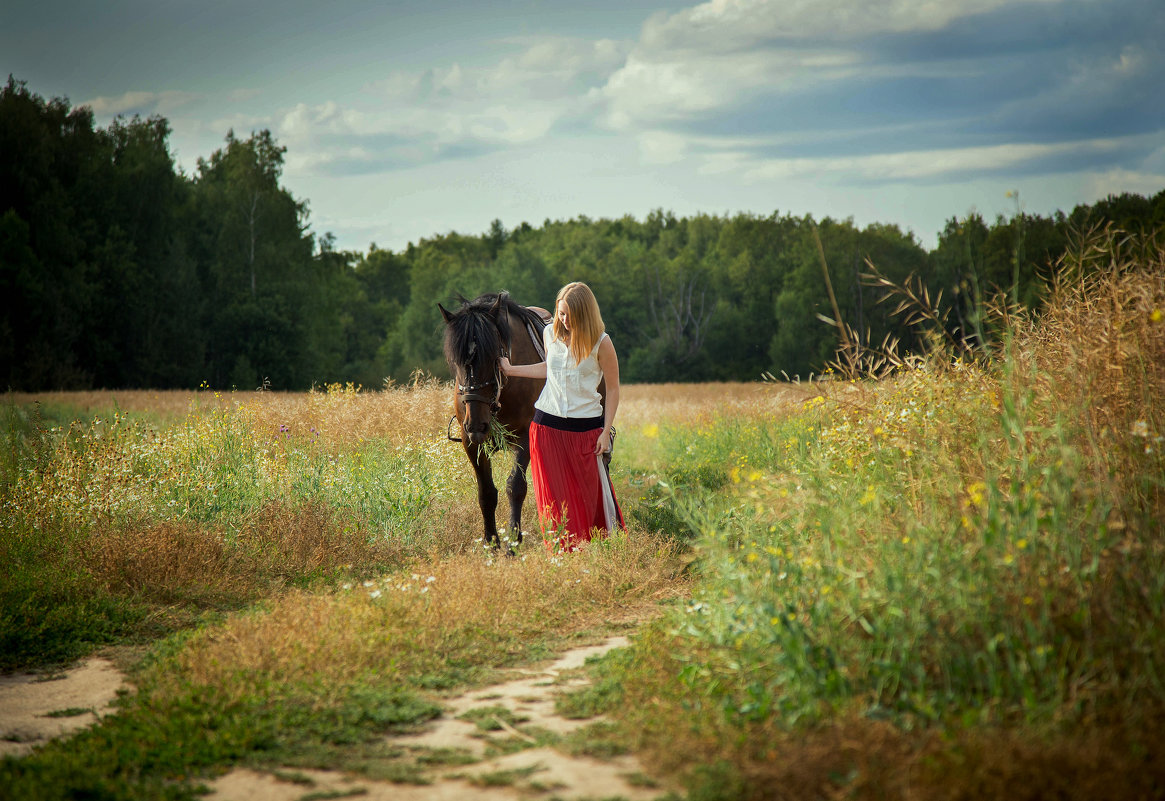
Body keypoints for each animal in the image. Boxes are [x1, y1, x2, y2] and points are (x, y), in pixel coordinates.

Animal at [438, 292, 547, 549]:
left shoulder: (525, 437)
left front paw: (513, 543)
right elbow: (486, 491)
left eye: (494, 357)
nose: (477, 424)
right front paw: (491, 542)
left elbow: (515, 487)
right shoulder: (471, 442)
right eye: (456, 361)